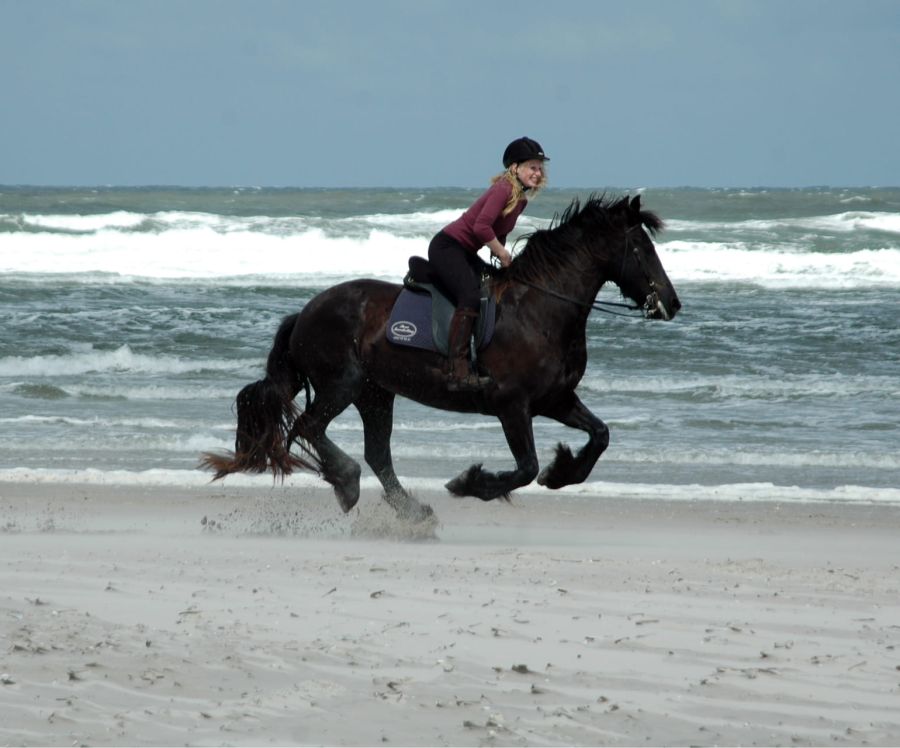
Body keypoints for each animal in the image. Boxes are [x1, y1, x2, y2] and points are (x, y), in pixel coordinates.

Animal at [201, 194, 681, 523]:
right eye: (642, 249)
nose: (671, 304)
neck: (540, 310)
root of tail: (304, 312)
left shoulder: (555, 399)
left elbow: (599, 436)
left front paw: (561, 472)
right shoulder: (512, 405)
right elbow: (525, 467)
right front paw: (471, 483)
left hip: (376, 394)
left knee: (377, 453)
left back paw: (410, 510)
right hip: (342, 384)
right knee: (309, 428)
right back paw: (346, 482)